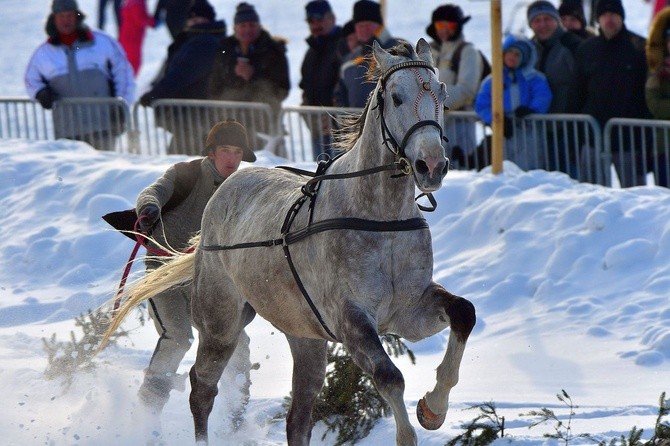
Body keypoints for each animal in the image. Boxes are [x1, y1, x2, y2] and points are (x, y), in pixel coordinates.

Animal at [102, 40, 476, 444]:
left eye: (442, 94)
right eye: (395, 96)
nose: (432, 165)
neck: (381, 219)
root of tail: (223, 192)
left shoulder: (408, 309)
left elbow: (463, 313)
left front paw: (434, 407)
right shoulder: (351, 319)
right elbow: (389, 377)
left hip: (305, 336)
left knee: (297, 418)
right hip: (220, 323)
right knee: (200, 385)